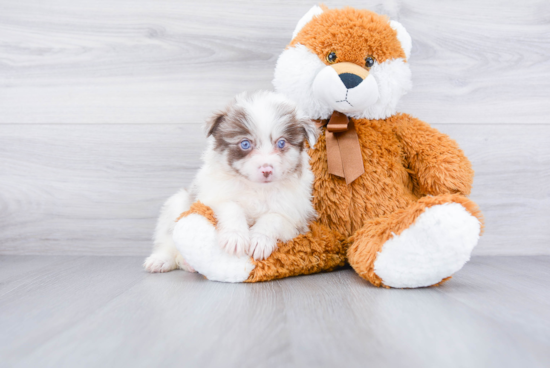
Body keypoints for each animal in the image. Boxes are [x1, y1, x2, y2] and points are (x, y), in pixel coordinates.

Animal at [144, 90, 320, 272]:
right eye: (245, 144)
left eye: (281, 143)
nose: (267, 169)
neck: (257, 188)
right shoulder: (212, 197)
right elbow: (231, 207)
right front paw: (235, 238)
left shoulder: (296, 217)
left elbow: (274, 218)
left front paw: (260, 240)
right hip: (175, 205)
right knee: (168, 239)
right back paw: (162, 259)